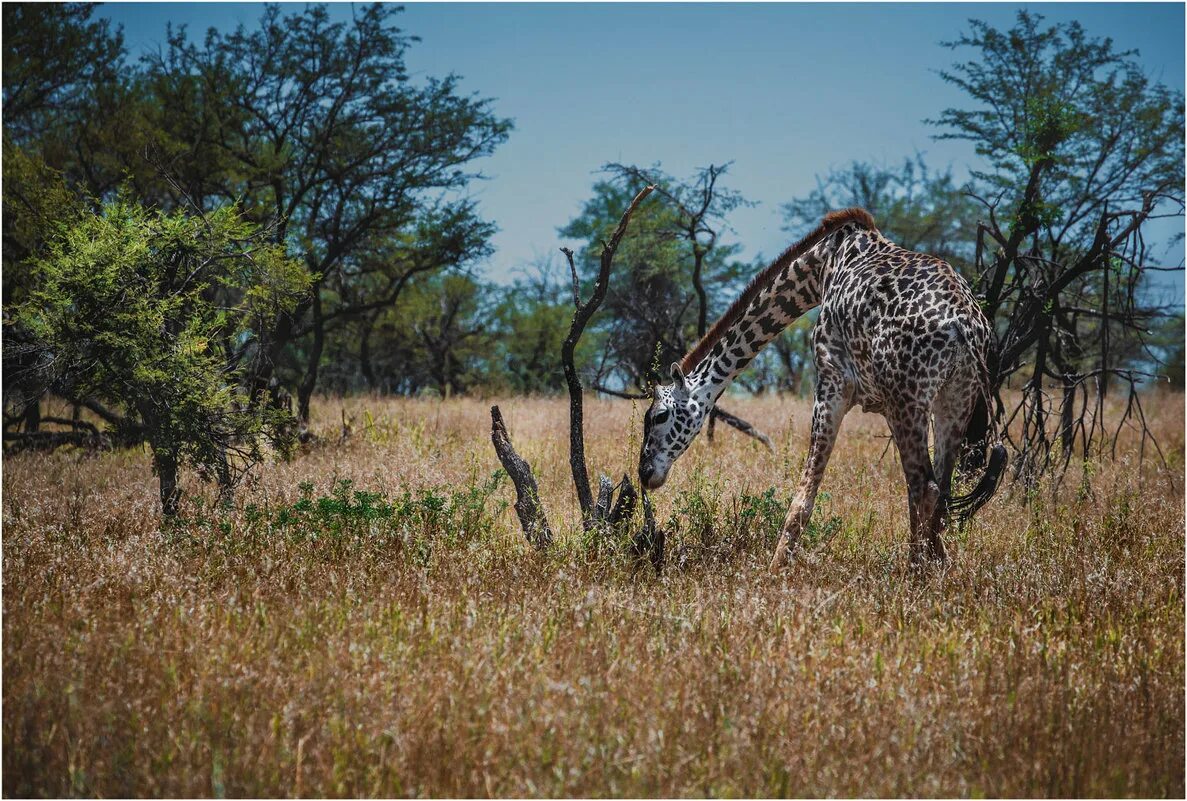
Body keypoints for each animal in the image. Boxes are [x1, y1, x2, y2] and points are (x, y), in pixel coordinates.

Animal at [636, 206, 1006, 569]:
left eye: (658, 416)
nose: (645, 473)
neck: (819, 268)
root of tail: (964, 323)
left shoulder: (833, 383)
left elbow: (804, 495)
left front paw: (775, 571)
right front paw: (942, 563)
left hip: (908, 399)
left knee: (924, 487)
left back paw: (914, 573)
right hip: (955, 399)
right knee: (940, 489)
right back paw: (935, 570)